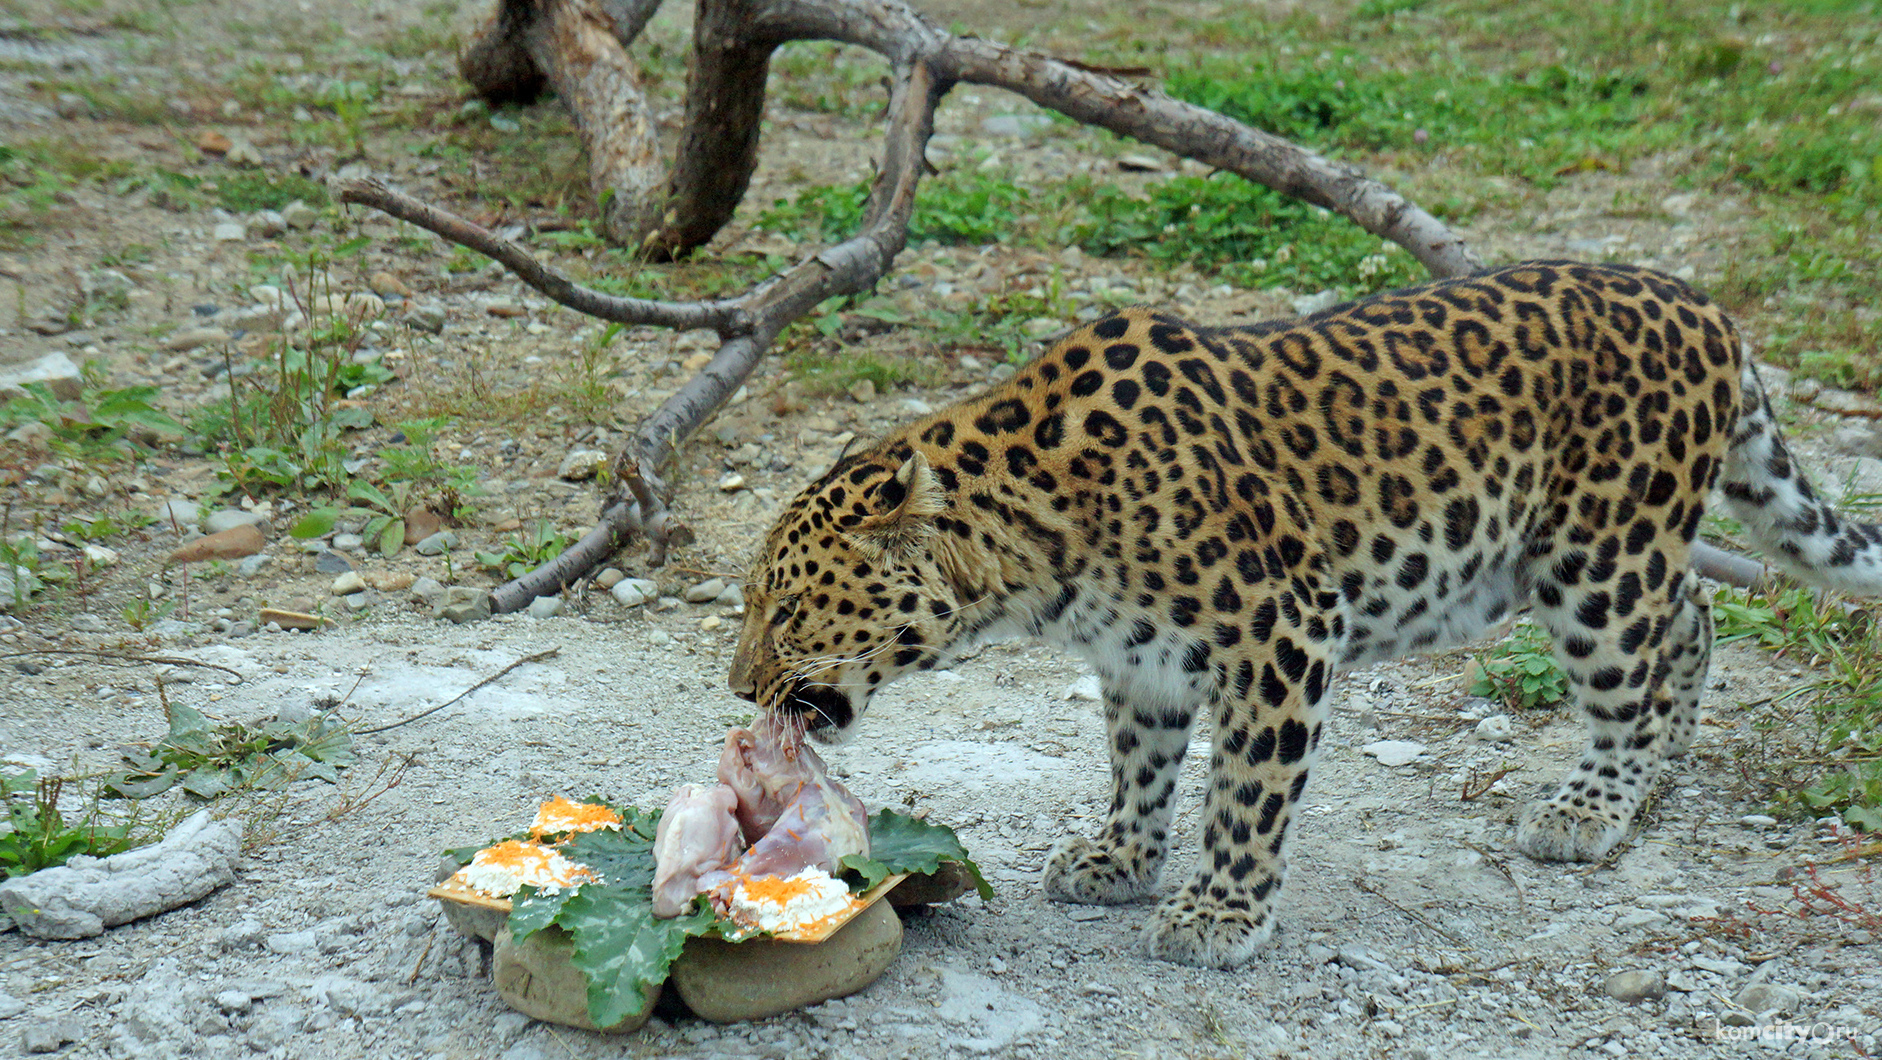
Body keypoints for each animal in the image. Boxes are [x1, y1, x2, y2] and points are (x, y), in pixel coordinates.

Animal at [722, 259, 1882, 971]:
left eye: (786, 606)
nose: (738, 689)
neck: (1034, 545)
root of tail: (1703, 305)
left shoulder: (1281, 628)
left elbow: (1245, 792)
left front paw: (1219, 914)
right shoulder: (1140, 662)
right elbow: (1140, 770)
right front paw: (1119, 863)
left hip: (1597, 555)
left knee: (1635, 662)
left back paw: (1595, 804)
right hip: (1594, 548)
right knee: (1692, 611)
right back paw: (1663, 763)